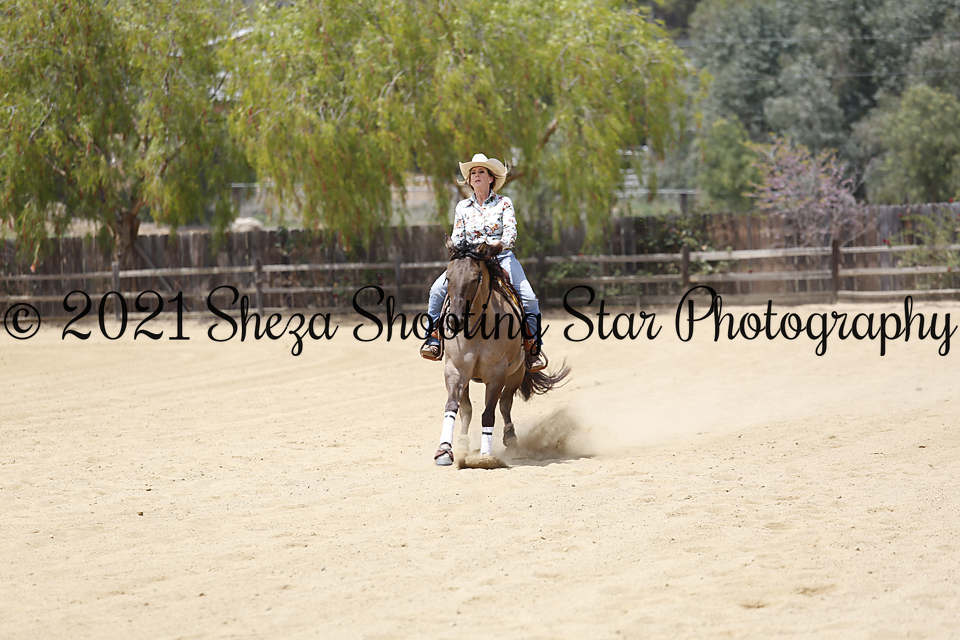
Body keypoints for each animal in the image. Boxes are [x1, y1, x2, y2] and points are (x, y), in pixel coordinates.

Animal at [434, 237, 570, 466]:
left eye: (475, 278)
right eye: (448, 277)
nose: (455, 321)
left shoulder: (497, 374)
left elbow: (489, 413)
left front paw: (486, 457)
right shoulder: (455, 370)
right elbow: (453, 406)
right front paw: (444, 451)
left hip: (516, 373)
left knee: (505, 404)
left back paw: (511, 439)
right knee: (467, 409)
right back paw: (462, 443)